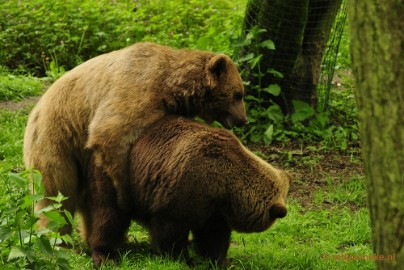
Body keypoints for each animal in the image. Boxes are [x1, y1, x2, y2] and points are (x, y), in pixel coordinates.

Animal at [81, 115, 290, 266]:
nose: (282, 212)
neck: (226, 186)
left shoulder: (214, 210)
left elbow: (213, 236)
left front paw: (221, 260)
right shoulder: (183, 192)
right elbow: (170, 232)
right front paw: (182, 258)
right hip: (117, 178)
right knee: (109, 215)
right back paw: (105, 255)